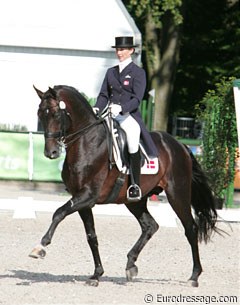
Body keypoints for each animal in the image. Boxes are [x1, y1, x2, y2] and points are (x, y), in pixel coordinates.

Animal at [29, 84, 218, 286]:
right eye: (39, 114)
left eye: (56, 114)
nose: (51, 152)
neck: (87, 142)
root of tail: (180, 145)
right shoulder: (82, 201)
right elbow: (91, 236)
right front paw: (96, 274)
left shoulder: (87, 195)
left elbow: (59, 213)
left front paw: (40, 247)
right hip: (135, 200)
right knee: (150, 226)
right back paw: (130, 265)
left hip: (177, 194)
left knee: (190, 229)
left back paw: (194, 276)